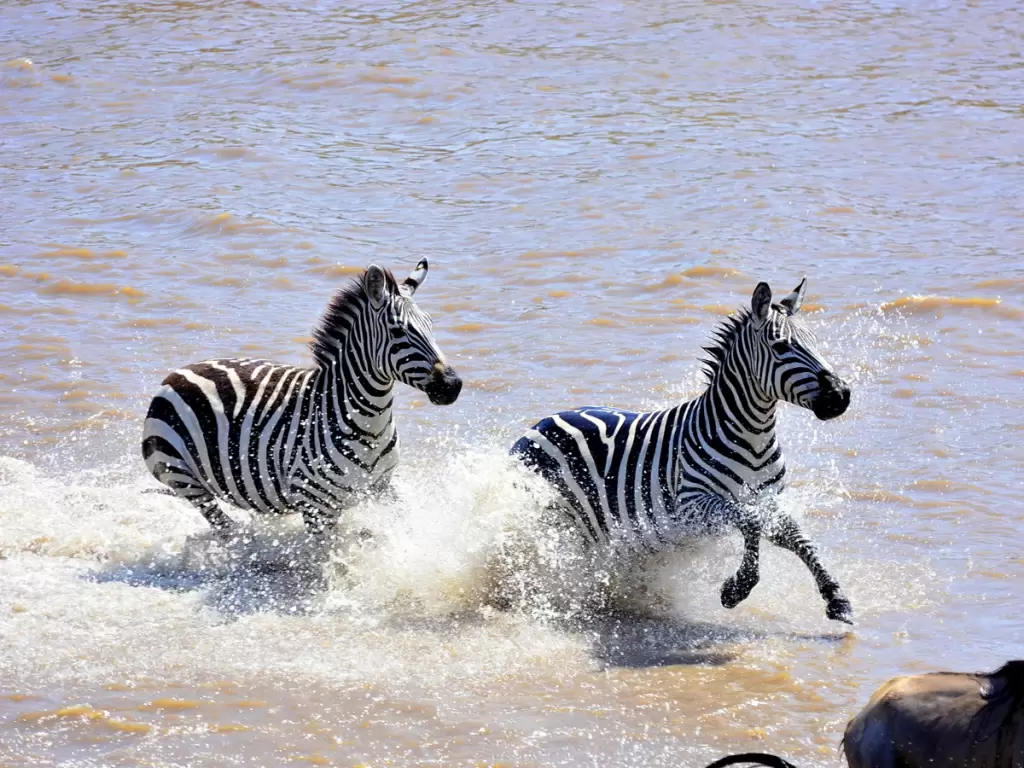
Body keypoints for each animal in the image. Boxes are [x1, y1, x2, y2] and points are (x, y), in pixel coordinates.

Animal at [142, 259, 462, 536]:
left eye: (430, 324)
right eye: (398, 331)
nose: (453, 385)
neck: (370, 422)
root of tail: (178, 372)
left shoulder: (383, 488)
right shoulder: (315, 505)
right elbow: (329, 563)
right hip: (182, 478)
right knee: (224, 530)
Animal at [512, 280, 856, 626]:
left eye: (814, 343)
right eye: (781, 346)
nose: (840, 395)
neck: (753, 436)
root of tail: (538, 425)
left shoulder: (768, 501)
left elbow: (797, 538)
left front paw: (836, 597)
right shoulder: (691, 505)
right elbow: (751, 521)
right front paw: (737, 588)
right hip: (557, 524)